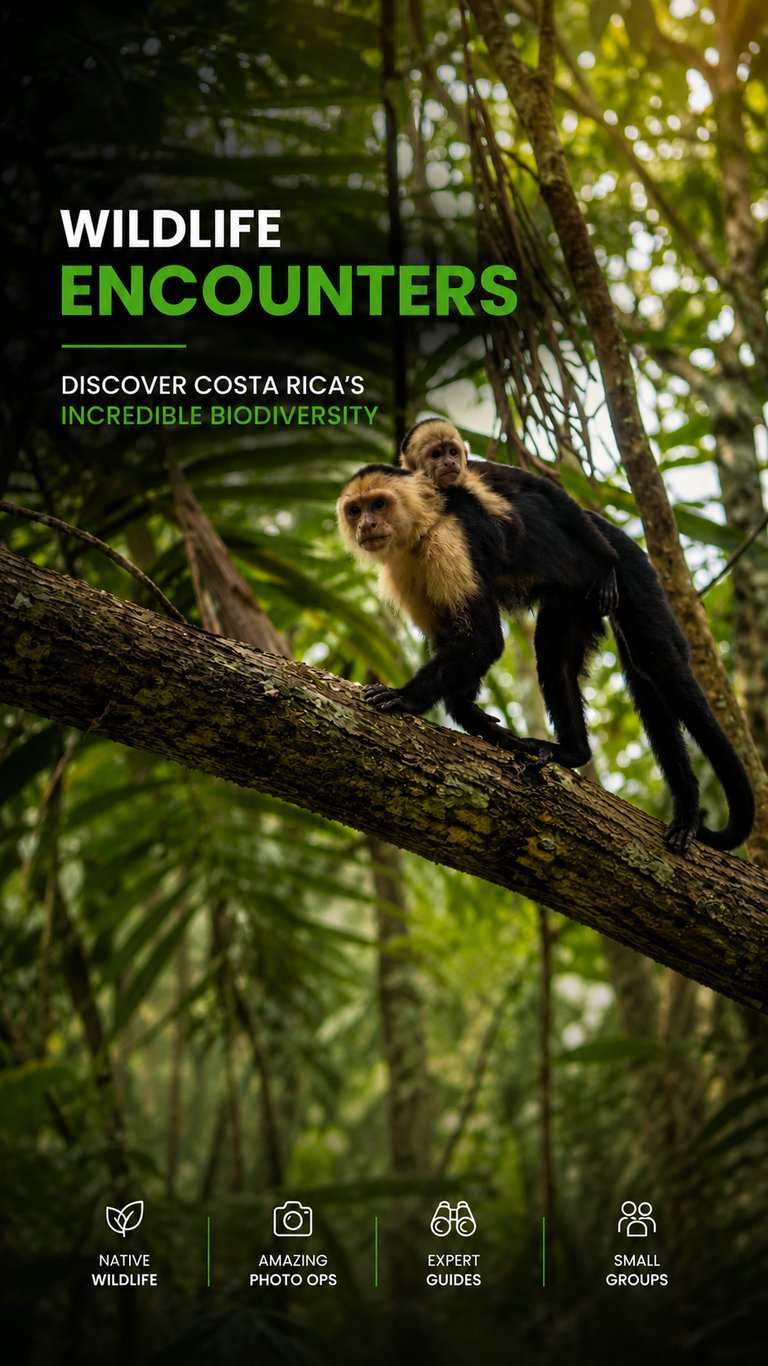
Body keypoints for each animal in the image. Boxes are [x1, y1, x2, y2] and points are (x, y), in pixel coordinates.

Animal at [337, 462, 754, 854]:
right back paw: (572, 751)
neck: (421, 529)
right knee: (561, 657)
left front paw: (404, 697)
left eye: (379, 504)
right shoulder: (402, 570)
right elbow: (453, 642)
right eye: (355, 510)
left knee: (659, 665)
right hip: (578, 598)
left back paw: (689, 810)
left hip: (629, 570)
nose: (367, 524)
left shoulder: (450, 540)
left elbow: (482, 639)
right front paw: (480, 723)